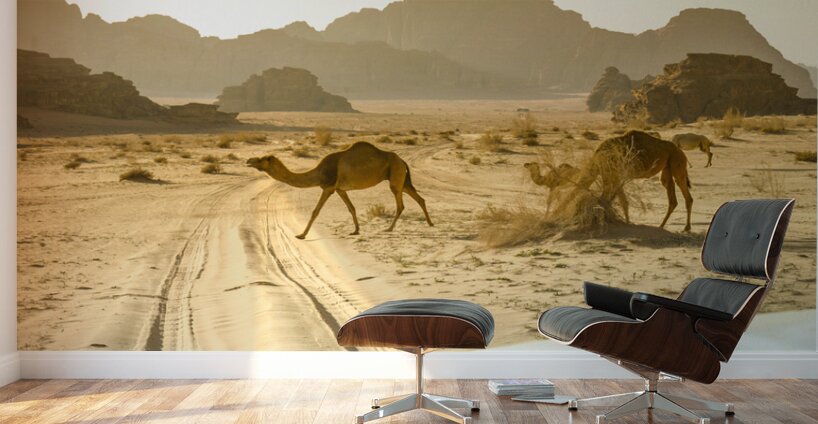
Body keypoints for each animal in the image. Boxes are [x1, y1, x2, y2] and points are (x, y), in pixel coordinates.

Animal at [247, 141, 433, 239]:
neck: (318, 172)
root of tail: (402, 160)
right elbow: (351, 208)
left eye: (262, 159)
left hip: (395, 177)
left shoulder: (328, 187)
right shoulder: (340, 189)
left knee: (401, 203)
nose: (249, 160)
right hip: (402, 179)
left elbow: (315, 211)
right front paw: (356, 230)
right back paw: (430, 223)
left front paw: (301, 235)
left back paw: (389, 229)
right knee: (419, 198)